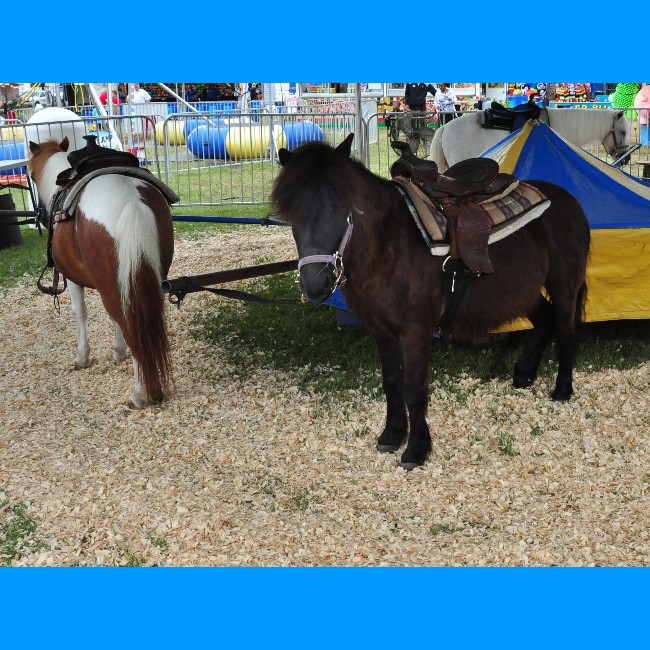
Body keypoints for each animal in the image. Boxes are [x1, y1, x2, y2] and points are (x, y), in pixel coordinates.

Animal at [28, 137, 175, 409]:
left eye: (31, 175)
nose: (38, 215)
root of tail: (132, 199)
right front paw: (118, 352)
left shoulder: (73, 279)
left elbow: (80, 313)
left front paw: (82, 358)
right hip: (149, 281)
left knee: (130, 323)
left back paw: (140, 394)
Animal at [272, 134, 590, 470]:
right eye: (292, 215)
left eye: (342, 208)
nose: (315, 284)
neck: (389, 244)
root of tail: (570, 200)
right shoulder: (381, 330)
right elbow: (392, 382)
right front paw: (392, 435)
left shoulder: (415, 331)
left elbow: (414, 389)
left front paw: (416, 449)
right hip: (523, 290)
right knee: (544, 320)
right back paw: (524, 373)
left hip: (564, 285)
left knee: (565, 330)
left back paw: (562, 389)